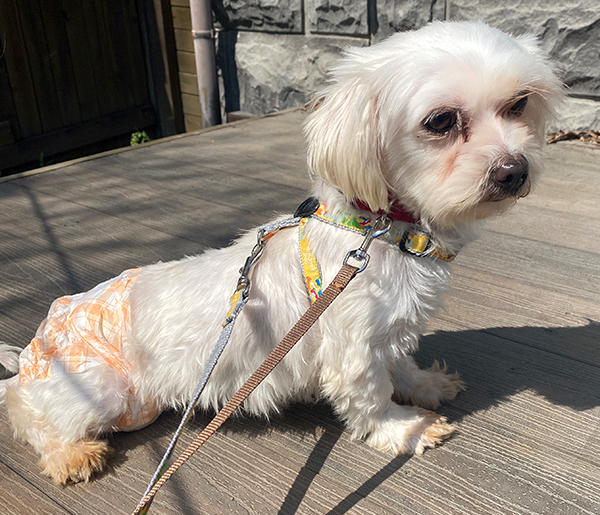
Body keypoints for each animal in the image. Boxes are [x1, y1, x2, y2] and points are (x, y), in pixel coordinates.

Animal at [0, 21, 562, 484]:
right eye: (441, 121)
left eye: (519, 103)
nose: (514, 171)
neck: (380, 232)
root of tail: (34, 341)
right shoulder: (352, 346)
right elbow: (370, 396)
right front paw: (406, 429)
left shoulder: (388, 331)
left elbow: (401, 366)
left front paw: (427, 386)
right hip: (96, 388)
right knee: (26, 413)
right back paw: (72, 455)